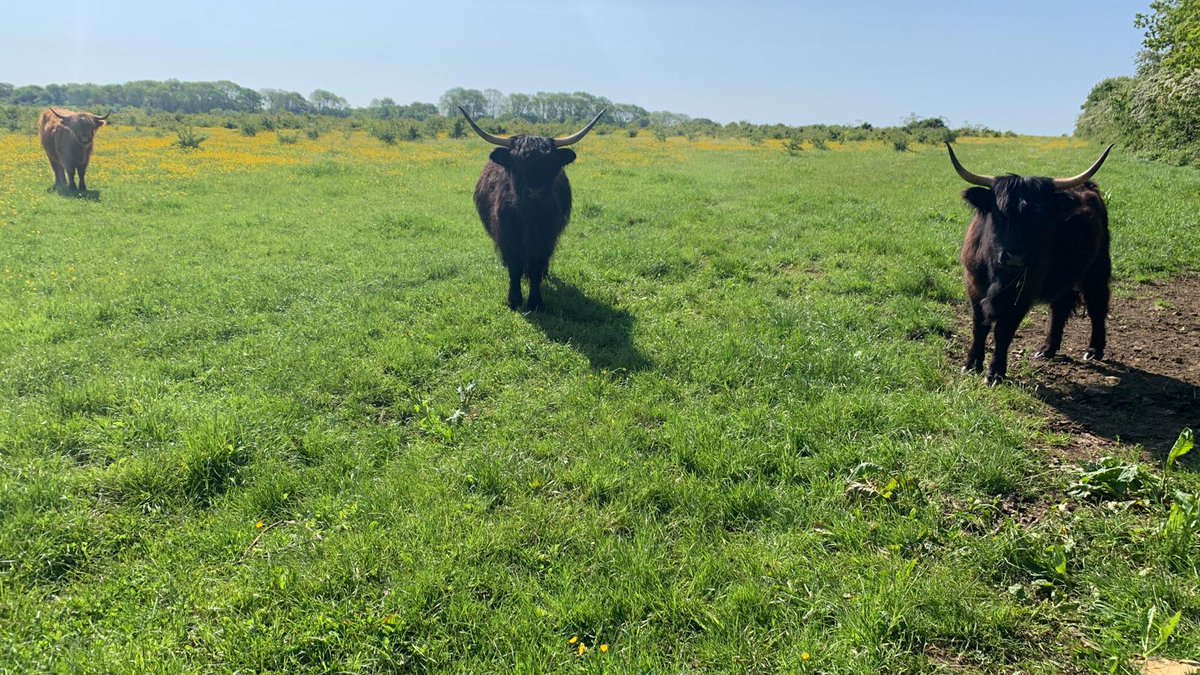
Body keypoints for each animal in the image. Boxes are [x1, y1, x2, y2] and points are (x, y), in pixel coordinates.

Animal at [460, 106, 604, 312]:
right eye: (518, 163)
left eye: (550, 164)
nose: (535, 192)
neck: (529, 216)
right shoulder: (507, 237)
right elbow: (514, 267)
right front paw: (514, 300)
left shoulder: (545, 239)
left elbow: (536, 266)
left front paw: (536, 302)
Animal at [945, 140, 1113, 384]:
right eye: (999, 213)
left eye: (1040, 217)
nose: (1015, 257)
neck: (998, 273)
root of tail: (1089, 187)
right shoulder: (973, 287)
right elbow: (979, 326)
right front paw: (971, 364)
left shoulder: (1022, 295)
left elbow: (1004, 332)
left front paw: (995, 373)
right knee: (1060, 307)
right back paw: (1047, 349)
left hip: (1096, 270)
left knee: (1097, 306)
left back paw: (1094, 350)